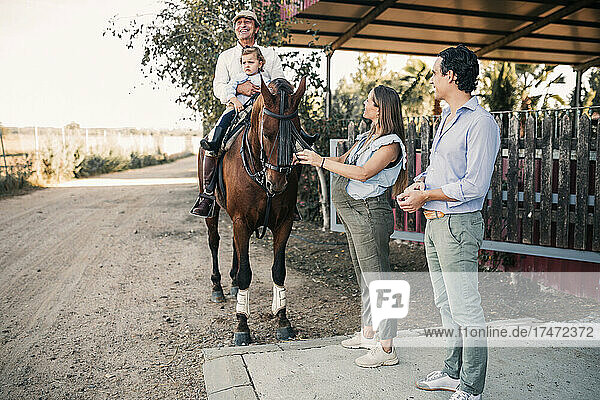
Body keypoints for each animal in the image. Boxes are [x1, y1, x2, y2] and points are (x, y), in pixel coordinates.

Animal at [200, 76, 308, 346]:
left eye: (295, 134)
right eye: (267, 133)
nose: (277, 183)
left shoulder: (284, 223)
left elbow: (278, 271)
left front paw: (283, 320)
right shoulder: (241, 221)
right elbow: (246, 274)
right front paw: (242, 325)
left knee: (234, 246)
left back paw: (231, 283)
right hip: (213, 212)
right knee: (214, 242)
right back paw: (217, 287)